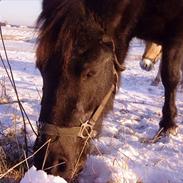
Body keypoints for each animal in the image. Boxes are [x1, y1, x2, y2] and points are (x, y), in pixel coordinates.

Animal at [34, 0, 183, 182]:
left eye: (90, 71)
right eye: (41, 68)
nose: (49, 163)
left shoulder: (176, 34)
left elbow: (170, 77)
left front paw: (168, 125)